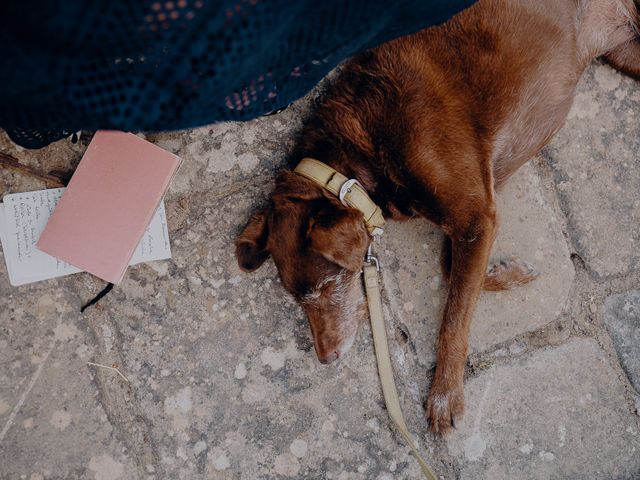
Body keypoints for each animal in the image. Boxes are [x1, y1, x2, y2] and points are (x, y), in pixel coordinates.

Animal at [235, 0, 640, 436]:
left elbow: (455, 313)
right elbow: (454, 271)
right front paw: (505, 273)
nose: (325, 359)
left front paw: (446, 393)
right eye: (296, 299)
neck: (359, 153)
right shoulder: (476, 214)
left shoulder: (477, 214)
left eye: (326, 286)